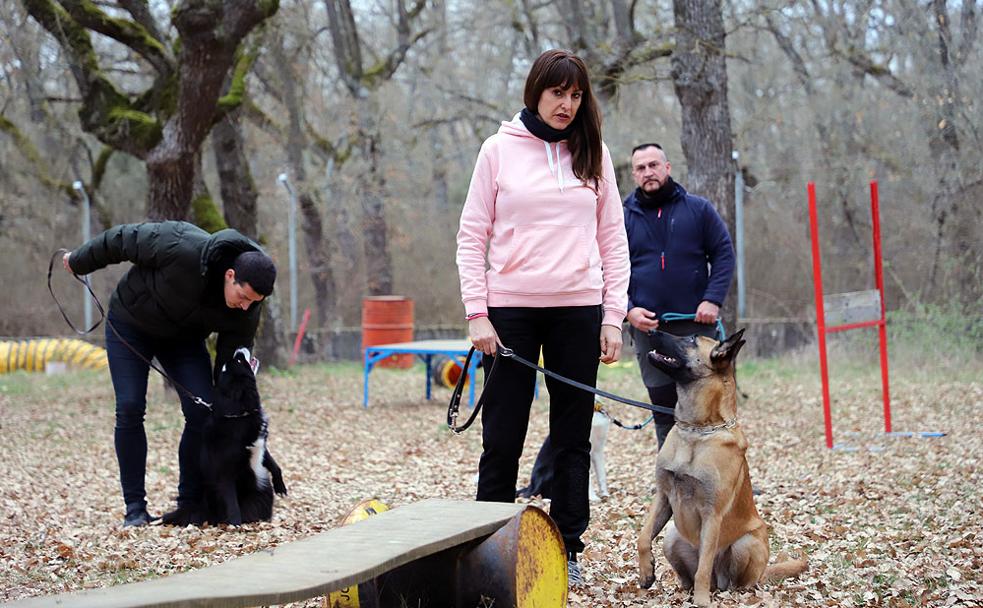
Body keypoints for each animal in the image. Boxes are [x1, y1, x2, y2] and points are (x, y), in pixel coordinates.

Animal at [640, 330, 808, 604]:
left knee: (734, 582)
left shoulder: (712, 515)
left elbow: (703, 567)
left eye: (691, 339)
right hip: (672, 537)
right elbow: (643, 537)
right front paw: (646, 572)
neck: (697, 431)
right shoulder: (664, 496)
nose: (651, 329)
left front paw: (701, 602)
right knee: (688, 576)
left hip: (745, 544)